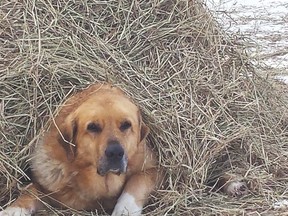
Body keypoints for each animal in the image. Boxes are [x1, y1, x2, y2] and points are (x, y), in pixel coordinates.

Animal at [0, 83, 160, 215]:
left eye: (126, 125)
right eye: (92, 127)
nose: (115, 152)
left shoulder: (152, 167)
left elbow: (137, 182)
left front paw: (125, 209)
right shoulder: (48, 189)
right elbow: (31, 192)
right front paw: (13, 210)